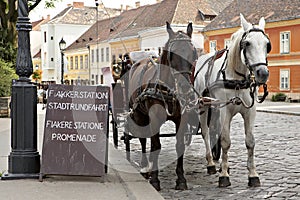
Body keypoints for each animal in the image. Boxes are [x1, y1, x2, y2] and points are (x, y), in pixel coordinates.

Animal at [195, 14, 272, 188]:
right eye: (247, 43)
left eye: (267, 44)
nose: (262, 73)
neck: (237, 79)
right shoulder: (225, 111)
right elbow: (225, 141)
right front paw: (223, 175)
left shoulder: (250, 111)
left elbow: (250, 141)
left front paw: (252, 175)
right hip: (204, 106)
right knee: (206, 132)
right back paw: (211, 163)